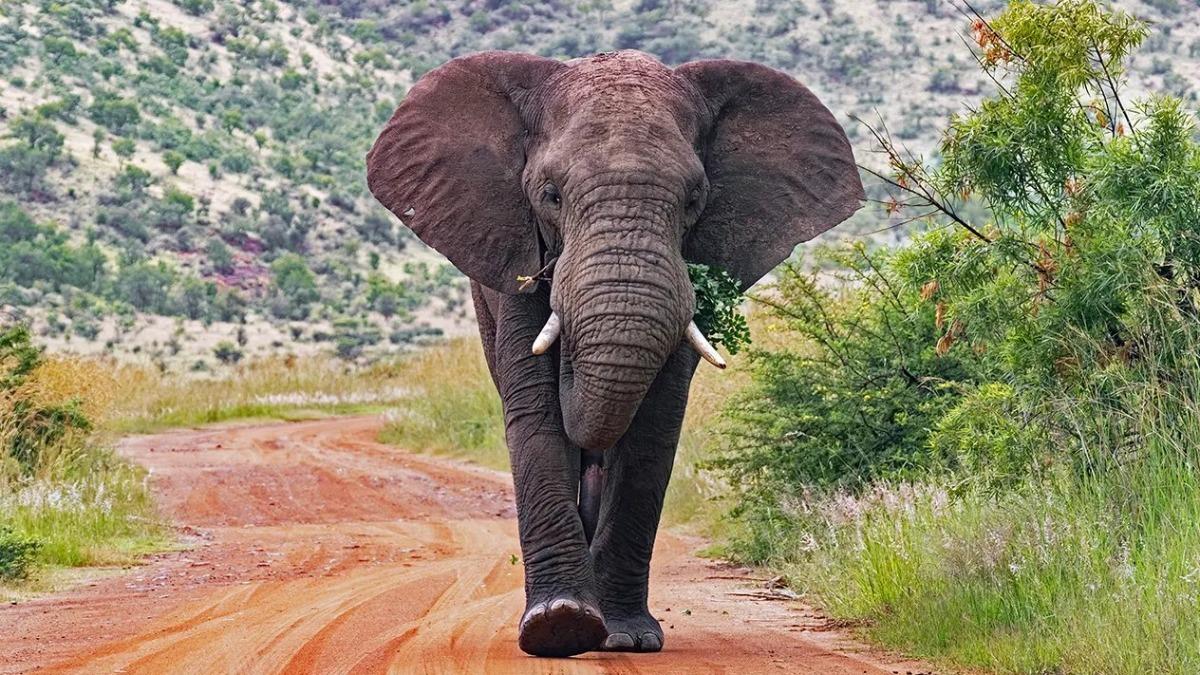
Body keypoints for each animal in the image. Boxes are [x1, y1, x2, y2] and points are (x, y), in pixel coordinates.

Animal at [366, 49, 863, 658]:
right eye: (550, 195)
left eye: (694, 200)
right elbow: (536, 412)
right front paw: (559, 627)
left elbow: (653, 425)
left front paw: (625, 638)